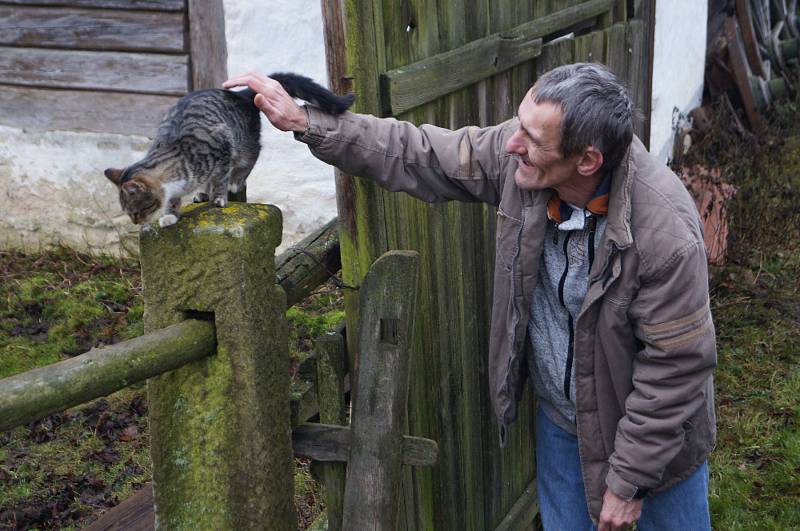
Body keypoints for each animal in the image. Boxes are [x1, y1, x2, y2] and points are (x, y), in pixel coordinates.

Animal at [104, 71, 354, 228]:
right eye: (130, 214)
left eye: (136, 212)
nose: (135, 223)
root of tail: (239, 94)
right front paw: (170, 215)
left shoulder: (223, 146)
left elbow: (221, 177)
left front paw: (219, 197)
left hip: (244, 143)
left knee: (250, 157)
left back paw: (232, 182)